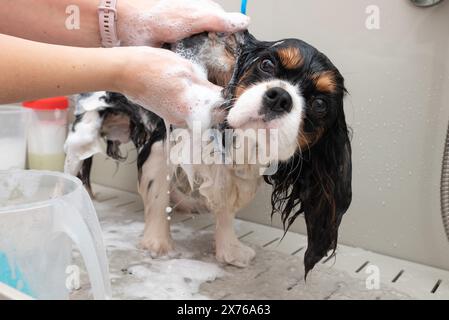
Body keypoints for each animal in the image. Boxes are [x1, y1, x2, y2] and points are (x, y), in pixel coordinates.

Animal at [64, 31, 350, 278]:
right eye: (266, 64)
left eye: (320, 104)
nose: (280, 97)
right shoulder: (160, 143)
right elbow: (156, 194)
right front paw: (158, 243)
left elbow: (224, 205)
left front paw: (229, 249)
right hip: (85, 129)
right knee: (72, 167)